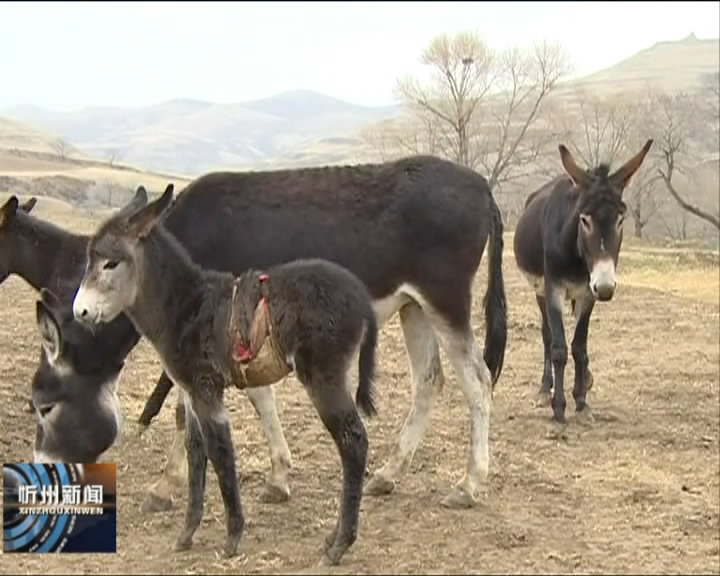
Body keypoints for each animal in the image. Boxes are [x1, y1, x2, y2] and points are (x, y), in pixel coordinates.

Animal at [71, 187, 382, 564]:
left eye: (110, 263)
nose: (80, 312)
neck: (185, 306)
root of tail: (361, 298)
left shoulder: (207, 390)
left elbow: (220, 453)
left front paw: (233, 537)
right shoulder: (191, 393)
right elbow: (196, 452)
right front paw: (187, 533)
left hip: (323, 377)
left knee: (354, 442)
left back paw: (339, 544)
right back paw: (333, 539)